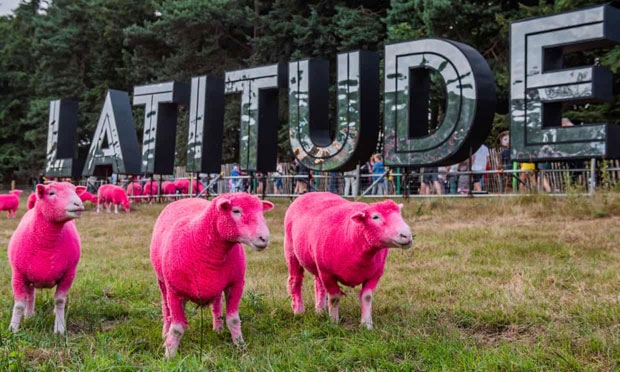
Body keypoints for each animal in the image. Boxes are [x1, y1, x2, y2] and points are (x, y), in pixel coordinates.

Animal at [7, 183, 86, 334]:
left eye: (75, 191)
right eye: (51, 193)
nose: (78, 204)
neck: (47, 244)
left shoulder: (69, 274)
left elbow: (60, 300)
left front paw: (59, 328)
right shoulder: (18, 275)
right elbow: (19, 304)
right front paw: (12, 329)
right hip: (28, 277)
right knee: (30, 296)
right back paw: (29, 316)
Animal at [150, 192, 274, 358]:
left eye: (261, 211)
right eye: (236, 211)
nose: (264, 238)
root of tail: (187, 198)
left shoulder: (236, 283)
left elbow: (234, 320)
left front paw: (241, 348)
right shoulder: (174, 290)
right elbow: (176, 329)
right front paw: (170, 355)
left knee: (217, 303)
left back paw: (218, 329)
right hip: (162, 283)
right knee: (166, 308)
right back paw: (165, 333)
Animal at [284, 192, 412, 328]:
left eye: (400, 214)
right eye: (375, 217)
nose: (407, 235)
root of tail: (311, 193)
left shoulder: (375, 274)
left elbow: (367, 297)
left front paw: (366, 324)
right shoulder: (327, 273)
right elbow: (334, 298)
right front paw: (334, 322)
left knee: (318, 284)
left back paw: (320, 311)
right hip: (291, 250)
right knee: (295, 280)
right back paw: (299, 311)